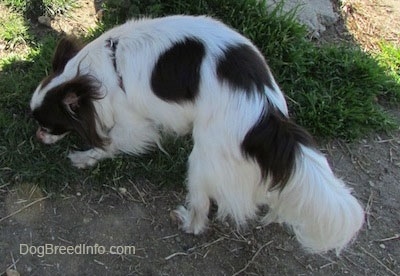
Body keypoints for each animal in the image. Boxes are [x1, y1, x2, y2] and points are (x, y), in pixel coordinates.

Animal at [29, 14, 364, 252]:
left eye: (48, 125)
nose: (38, 137)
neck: (103, 72)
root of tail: (265, 111)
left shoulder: (133, 122)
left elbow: (110, 143)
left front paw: (85, 157)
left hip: (202, 158)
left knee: (202, 206)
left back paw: (188, 220)